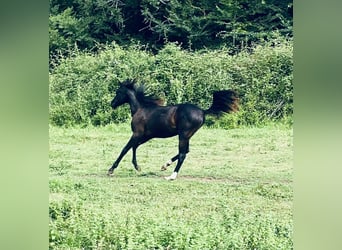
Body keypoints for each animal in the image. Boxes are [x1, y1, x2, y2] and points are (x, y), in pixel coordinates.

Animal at [107, 79, 238, 180]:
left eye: (118, 92)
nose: (112, 104)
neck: (140, 109)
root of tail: (202, 111)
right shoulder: (146, 135)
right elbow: (134, 147)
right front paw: (137, 167)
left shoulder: (137, 134)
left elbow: (125, 149)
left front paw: (111, 169)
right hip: (187, 136)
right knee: (186, 151)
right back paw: (165, 165)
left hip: (183, 135)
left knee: (182, 154)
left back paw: (171, 176)